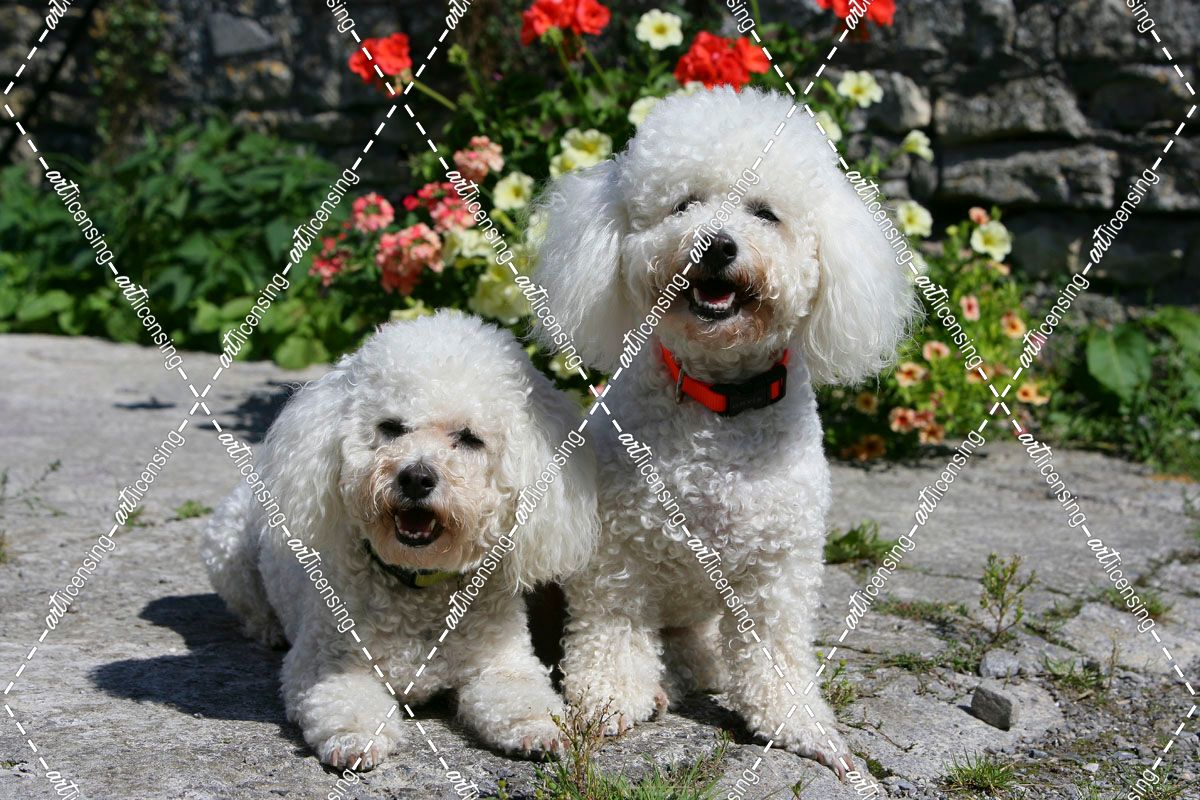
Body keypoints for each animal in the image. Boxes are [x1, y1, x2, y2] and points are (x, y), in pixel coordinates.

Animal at [201, 311, 597, 770]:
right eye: (390, 428)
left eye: (469, 438)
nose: (416, 478)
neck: (417, 582)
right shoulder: (326, 660)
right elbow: (345, 700)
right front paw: (355, 737)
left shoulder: (502, 661)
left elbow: (521, 694)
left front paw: (536, 728)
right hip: (227, 547)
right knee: (248, 603)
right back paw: (267, 627)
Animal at [531, 87, 917, 776]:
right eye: (684, 203)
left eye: (766, 213)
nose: (716, 245)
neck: (718, 403)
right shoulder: (618, 555)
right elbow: (613, 631)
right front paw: (610, 700)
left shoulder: (777, 570)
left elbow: (779, 652)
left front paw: (799, 724)